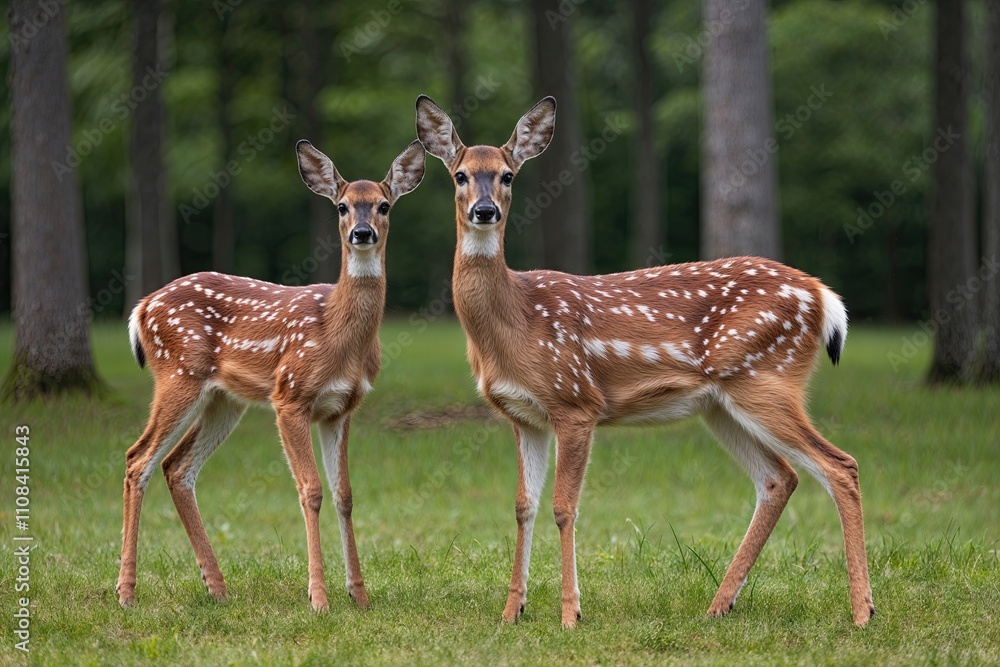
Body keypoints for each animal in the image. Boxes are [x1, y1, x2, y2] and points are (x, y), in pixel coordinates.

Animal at [116, 139, 425, 611]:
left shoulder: (342, 407)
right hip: (178, 372)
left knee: (176, 466)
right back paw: (127, 591)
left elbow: (345, 494)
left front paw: (359, 595)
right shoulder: (290, 396)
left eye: (384, 205)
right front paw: (319, 598)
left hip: (224, 400)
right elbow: (311, 490)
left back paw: (217, 587)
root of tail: (143, 307)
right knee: (138, 459)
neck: (338, 335)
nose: (362, 233)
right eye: (341, 206)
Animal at [415, 95, 875, 629]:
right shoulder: (524, 416)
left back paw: (862, 611)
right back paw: (719, 605)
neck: (515, 320)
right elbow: (523, 506)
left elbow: (564, 507)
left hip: (766, 379)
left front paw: (570, 614)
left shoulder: (576, 402)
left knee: (840, 465)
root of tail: (823, 296)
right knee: (780, 477)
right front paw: (512, 611)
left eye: (508, 175)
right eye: (460, 175)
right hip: (722, 404)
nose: (484, 210)